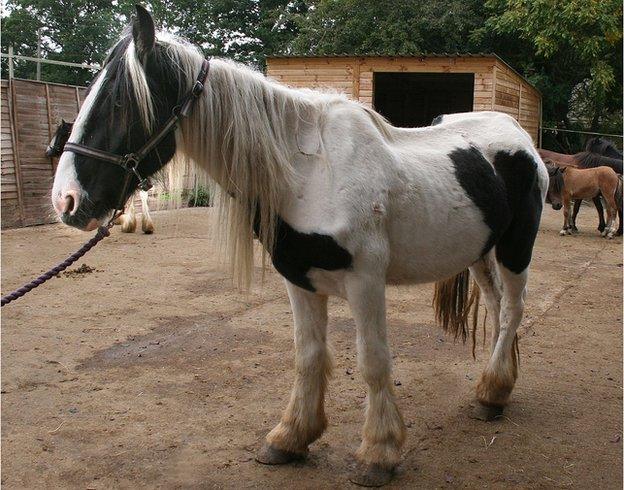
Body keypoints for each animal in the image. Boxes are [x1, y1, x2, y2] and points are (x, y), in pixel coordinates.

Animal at [53, 6, 548, 486]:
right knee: (496, 306)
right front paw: (291, 437)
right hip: (479, 252)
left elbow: (373, 361)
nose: (66, 201)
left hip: (514, 249)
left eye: (119, 101)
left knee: (512, 310)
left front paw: (379, 453)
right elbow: (308, 357)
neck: (310, 173)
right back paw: (494, 386)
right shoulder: (299, 279)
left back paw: (493, 393)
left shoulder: (366, 282)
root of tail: (519, 137)